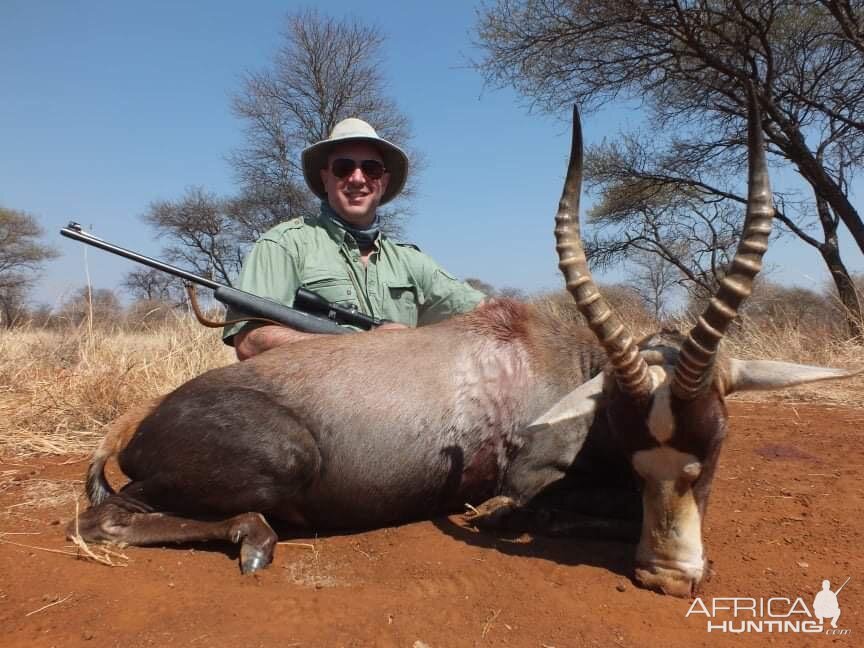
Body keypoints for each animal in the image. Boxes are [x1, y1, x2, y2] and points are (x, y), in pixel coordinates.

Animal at [72, 92, 856, 596]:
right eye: (636, 443)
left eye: (715, 441)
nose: (667, 577)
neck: (555, 354)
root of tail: (142, 426)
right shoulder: (528, 478)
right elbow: (543, 507)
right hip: (275, 459)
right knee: (104, 516)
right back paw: (255, 540)